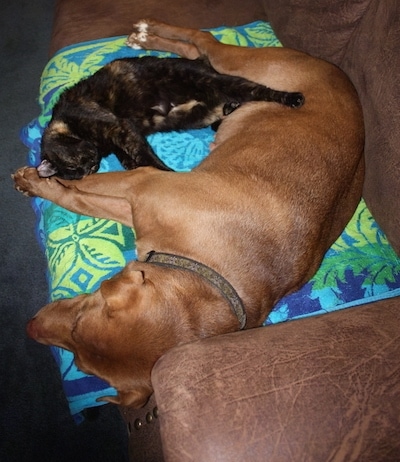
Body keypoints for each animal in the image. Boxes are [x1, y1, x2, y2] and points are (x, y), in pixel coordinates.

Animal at [39, 56, 304, 180]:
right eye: (85, 171)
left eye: (75, 164)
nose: (92, 163)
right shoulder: (121, 142)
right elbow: (133, 162)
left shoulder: (120, 128)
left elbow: (145, 156)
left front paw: (168, 176)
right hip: (197, 115)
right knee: (226, 111)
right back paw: (230, 108)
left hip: (211, 80)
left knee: (257, 89)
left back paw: (292, 98)